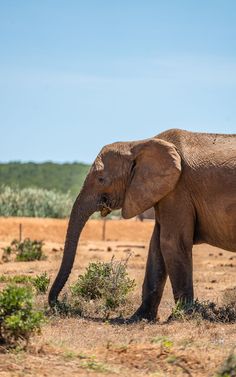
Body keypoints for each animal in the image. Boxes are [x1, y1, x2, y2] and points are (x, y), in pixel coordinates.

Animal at [48, 129, 236, 320]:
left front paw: (182, 316)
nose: (61, 304)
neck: (138, 144)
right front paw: (139, 318)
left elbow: (171, 243)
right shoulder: (166, 192)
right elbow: (156, 247)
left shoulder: (178, 190)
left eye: (101, 179)